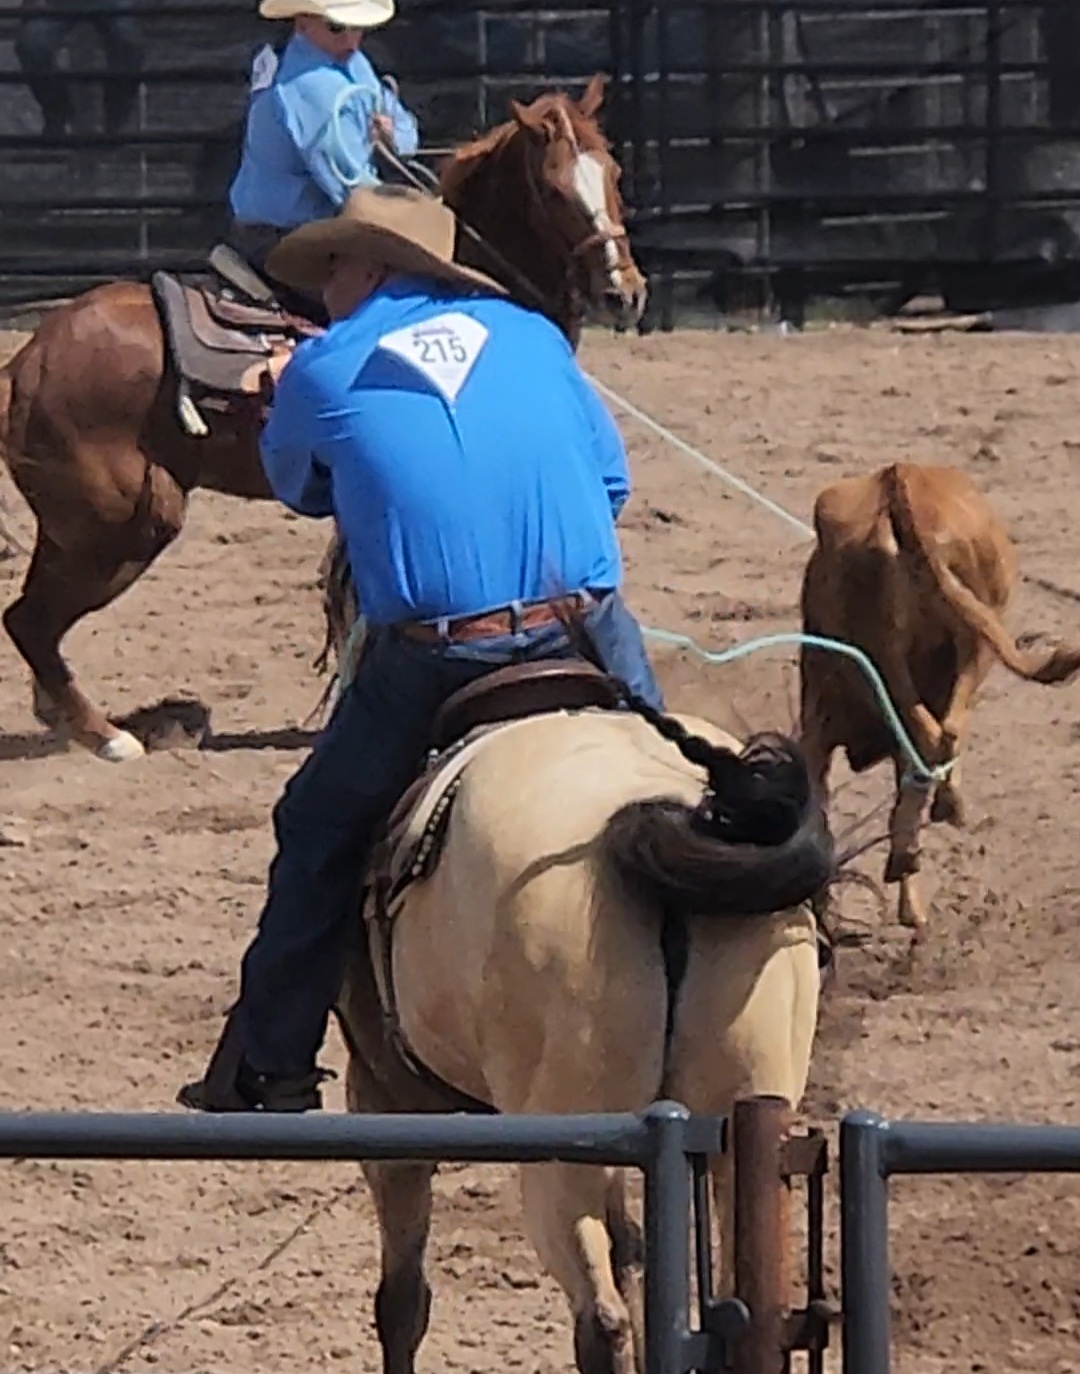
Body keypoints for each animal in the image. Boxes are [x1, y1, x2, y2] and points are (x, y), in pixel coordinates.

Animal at [0, 72, 640, 763]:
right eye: (552, 190)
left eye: (613, 171)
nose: (624, 293)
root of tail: (27, 363)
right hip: (119, 525)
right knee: (29, 620)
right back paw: (108, 736)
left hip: (72, 526)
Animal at [321, 637, 835, 1368]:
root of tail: (641, 817)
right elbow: (635, 1252)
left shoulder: (385, 1105)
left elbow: (402, 1301)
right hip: (744, 1126)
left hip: (560, 1152)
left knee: (599, 1316)